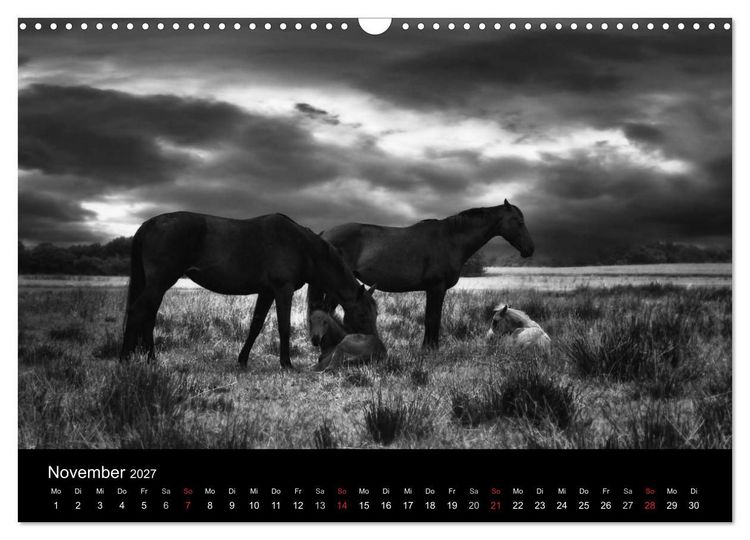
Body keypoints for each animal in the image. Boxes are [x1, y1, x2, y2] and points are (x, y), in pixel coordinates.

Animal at [120, 211, 378, 369]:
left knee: (148, 317)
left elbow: (255, 325)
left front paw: (242, 360)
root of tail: (148, 224)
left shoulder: (267, 292)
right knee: (137, 313)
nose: (375, 346)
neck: (301, 246)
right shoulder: (282, 290)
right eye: (363, 313)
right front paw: (287, 363)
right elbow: (284, 327)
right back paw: (126, 359)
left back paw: (151, 359)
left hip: (157, 286)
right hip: (159, 283)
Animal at [312, 199, 534, 349]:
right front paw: (430, 349)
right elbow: (433, 319)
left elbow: (431, 318)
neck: (450, 240)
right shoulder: (436, 288)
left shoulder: (433, 289)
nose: (530, 250)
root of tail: (324, 234)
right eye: (518, 222)